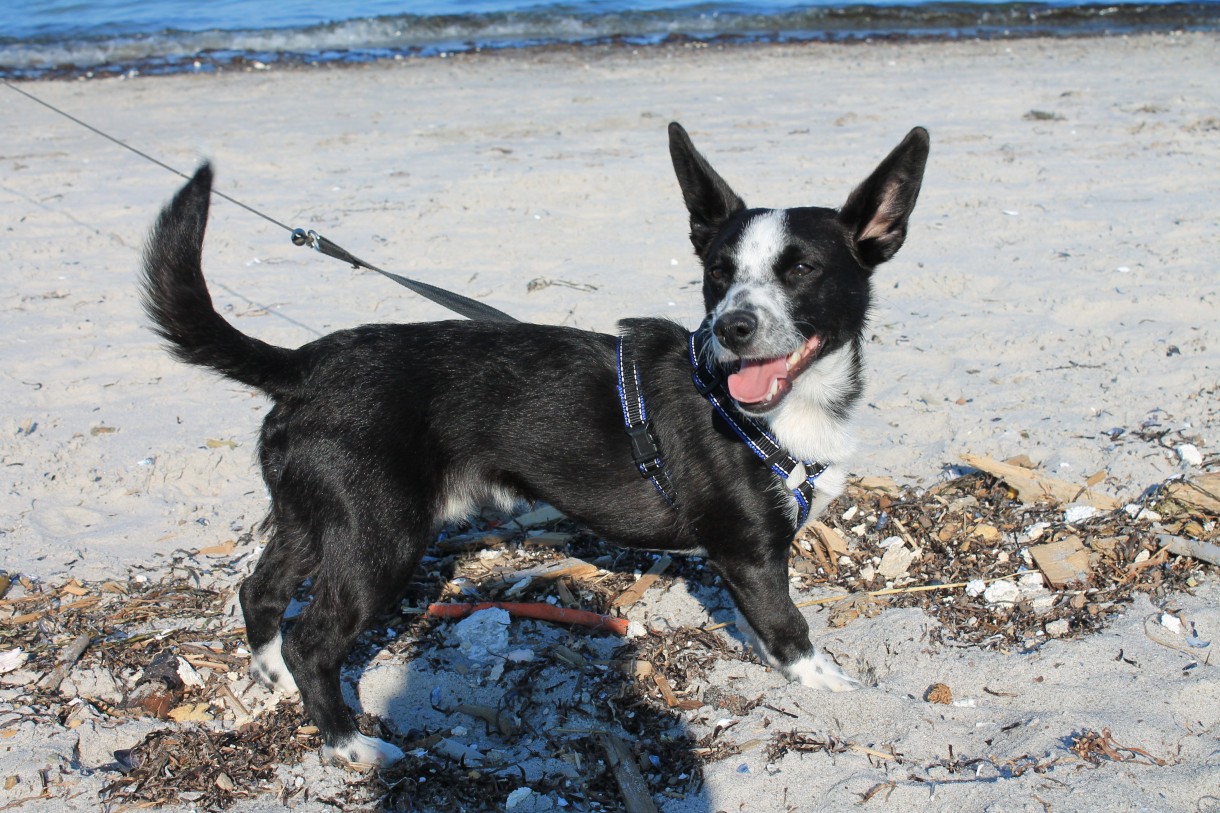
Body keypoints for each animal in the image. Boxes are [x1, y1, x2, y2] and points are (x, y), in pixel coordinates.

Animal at [140, 123, 922, 761]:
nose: (732, 327)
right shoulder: (751, 554)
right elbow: (791, 629)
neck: (769, 407)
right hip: (378, 535)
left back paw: (273, 675)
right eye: (718, 274)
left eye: (801, 270)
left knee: (260, 590)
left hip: (314, 517)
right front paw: (835, 686)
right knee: (314, 639)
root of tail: (305, 362)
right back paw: (345, 743)